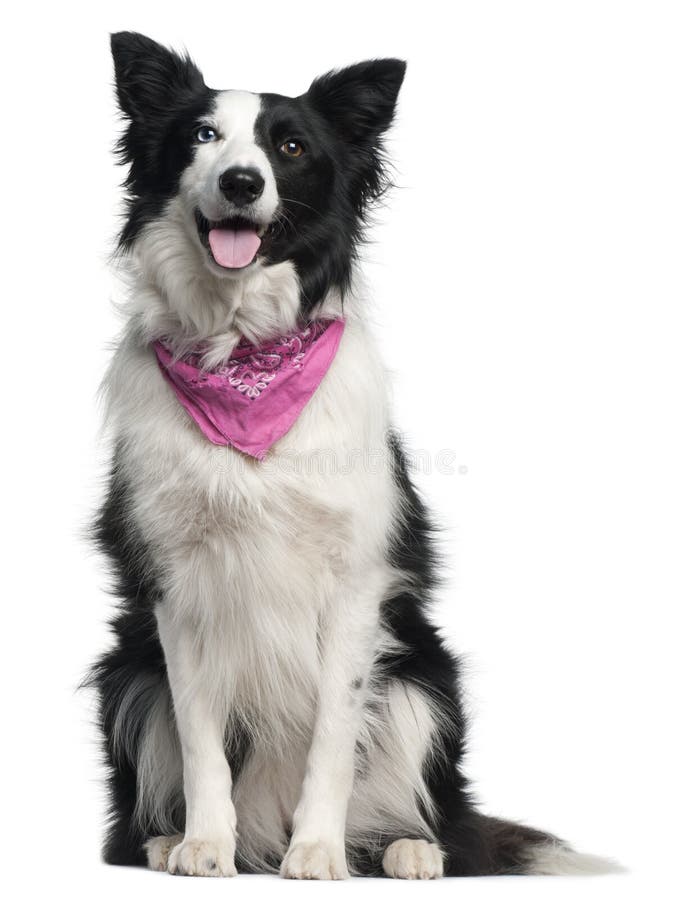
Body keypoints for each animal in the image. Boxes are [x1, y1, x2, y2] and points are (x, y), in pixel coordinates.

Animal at [90, 29, 616, 880]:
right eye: (202, 136)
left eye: (291, 147)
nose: (241, 182)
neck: (245, 351)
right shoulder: (176, 583)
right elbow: (201, 734)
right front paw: (205, 843)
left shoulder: (357, 582)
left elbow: (334, 736)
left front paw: (317, 851)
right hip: (126, 672)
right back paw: (171, 840)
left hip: (425, 679)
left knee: (442, 815)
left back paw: (408, 848)